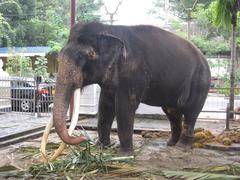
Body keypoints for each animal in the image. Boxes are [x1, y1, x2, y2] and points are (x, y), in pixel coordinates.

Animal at [50, 22, 210, 153]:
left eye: (90, 55)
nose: (84, 139)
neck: (110, 29)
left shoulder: (134, 73)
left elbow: (124, 106)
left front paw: (125, 154)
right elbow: (105, 105)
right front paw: (102, 147)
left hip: (200, 82)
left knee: (190, 113)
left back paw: (182, 147)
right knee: (172, 112)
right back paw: (170, 144)